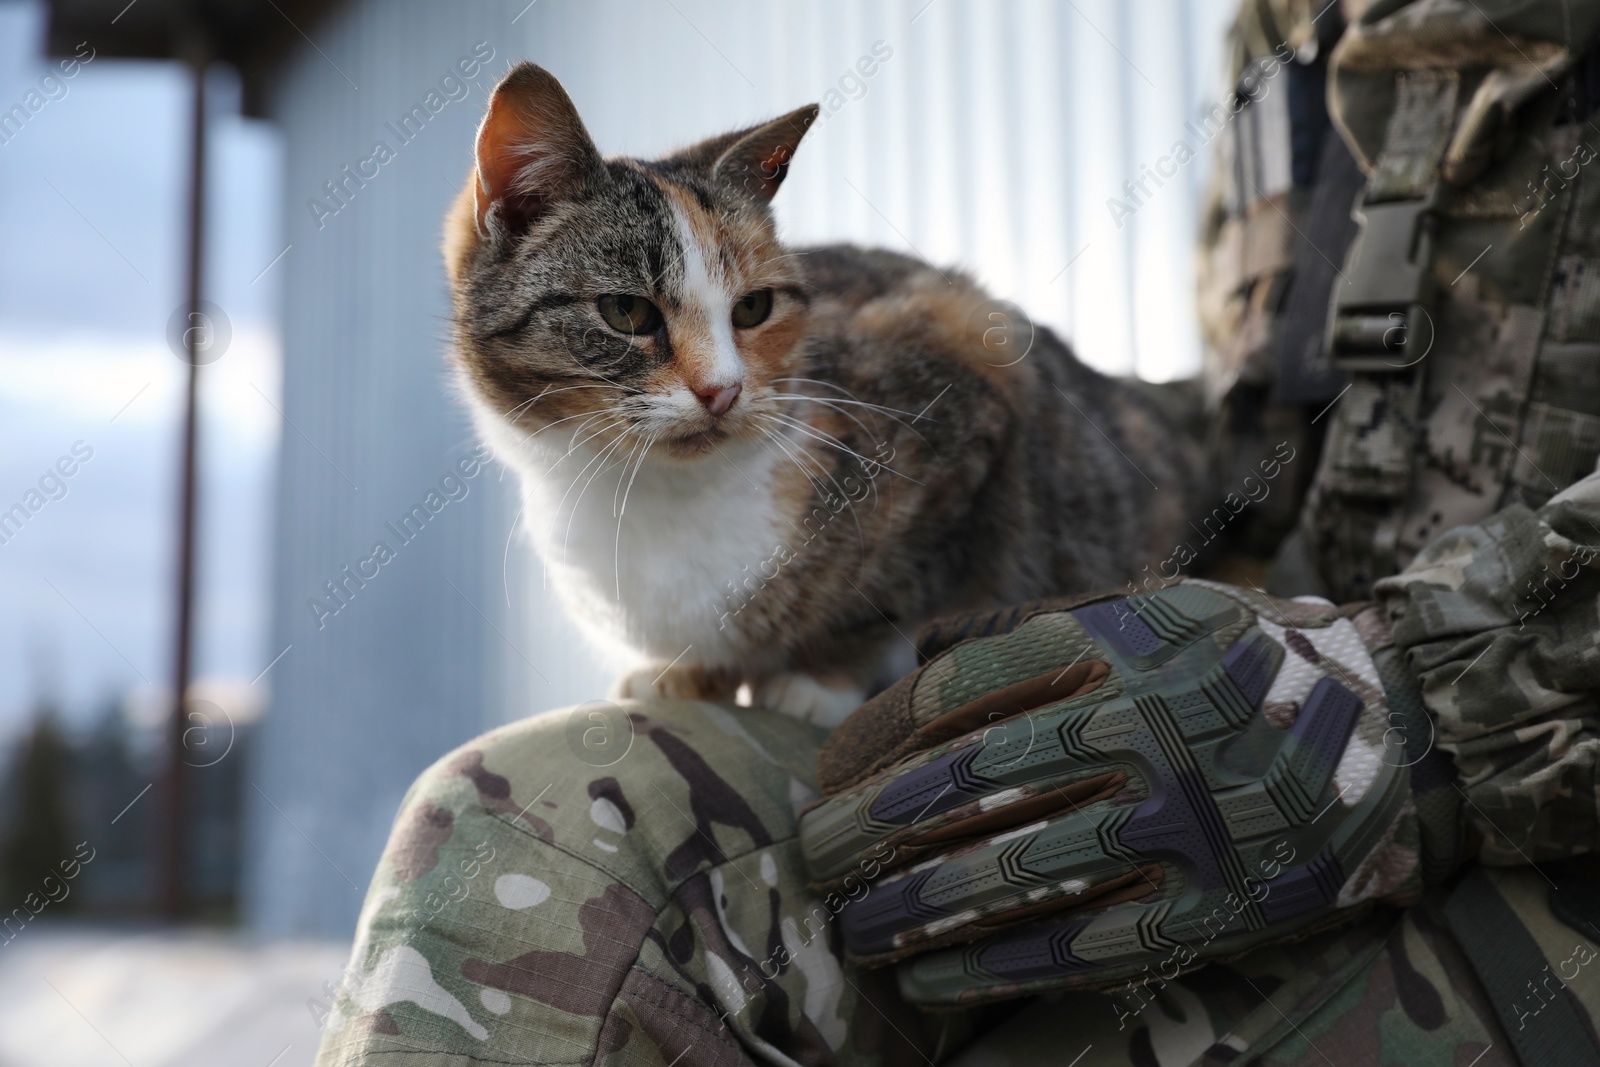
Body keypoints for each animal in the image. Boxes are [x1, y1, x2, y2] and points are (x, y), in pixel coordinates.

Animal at [444, 60, 1196, 726]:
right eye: (626, 312)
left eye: (753, 308)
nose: (722, 391)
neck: (645, 491)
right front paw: (685, 673)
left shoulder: (970, 378)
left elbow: (894, 588)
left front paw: (817, 681)